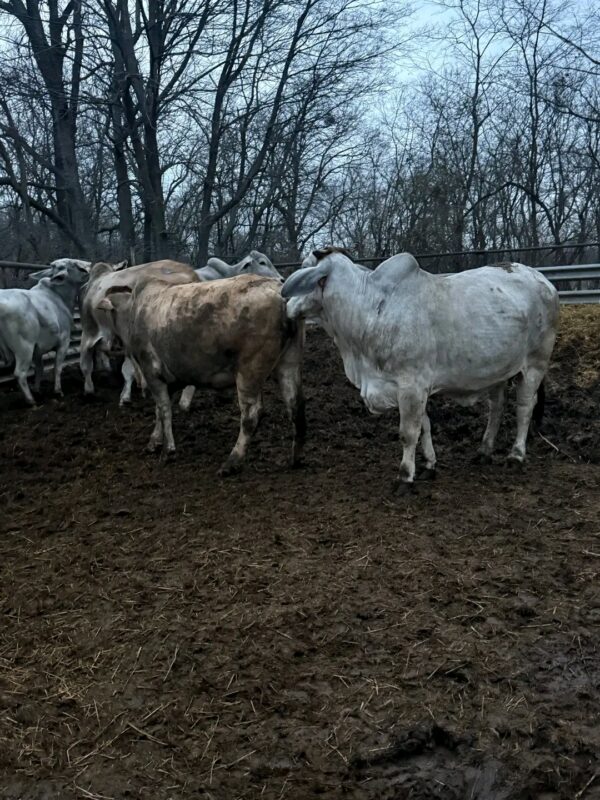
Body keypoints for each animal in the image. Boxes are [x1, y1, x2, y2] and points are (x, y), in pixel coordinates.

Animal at [0, 262, 89, 405]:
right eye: (73, 265)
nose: (88, 267)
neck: (59, 296)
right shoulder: (64, 342)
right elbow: (57, 367)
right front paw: (58, 391)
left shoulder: (37, 349)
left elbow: (40, 369)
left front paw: (37, 390)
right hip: (24, 348)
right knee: (20, 373)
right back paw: (31, 400)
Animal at [97, 274, 305, 476]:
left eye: (106, 315)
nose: (108, 345)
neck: (135, 309)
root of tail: (279, 291)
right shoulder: (167, 378)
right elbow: (158, 410)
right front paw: (154, 441)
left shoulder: (152, 371)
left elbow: (164, 409)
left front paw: (168, 450)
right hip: (288, 362)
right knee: (295, 406)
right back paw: (295, 458)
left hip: (250, 369)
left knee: (251, 415)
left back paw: (232, 461)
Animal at [282, 248, 559, 493]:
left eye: (304, 271)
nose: (285, 305)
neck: (370, 312)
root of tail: (543, 280)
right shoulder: (418, 387)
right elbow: (425, 425)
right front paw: (429, 465)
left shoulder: (411, 386)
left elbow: (408, 433)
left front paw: (405, 477)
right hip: (497, 370)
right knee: (497, 407)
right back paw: (484, 450)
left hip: (534, 364)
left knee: (525, 407)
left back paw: (516, 455)